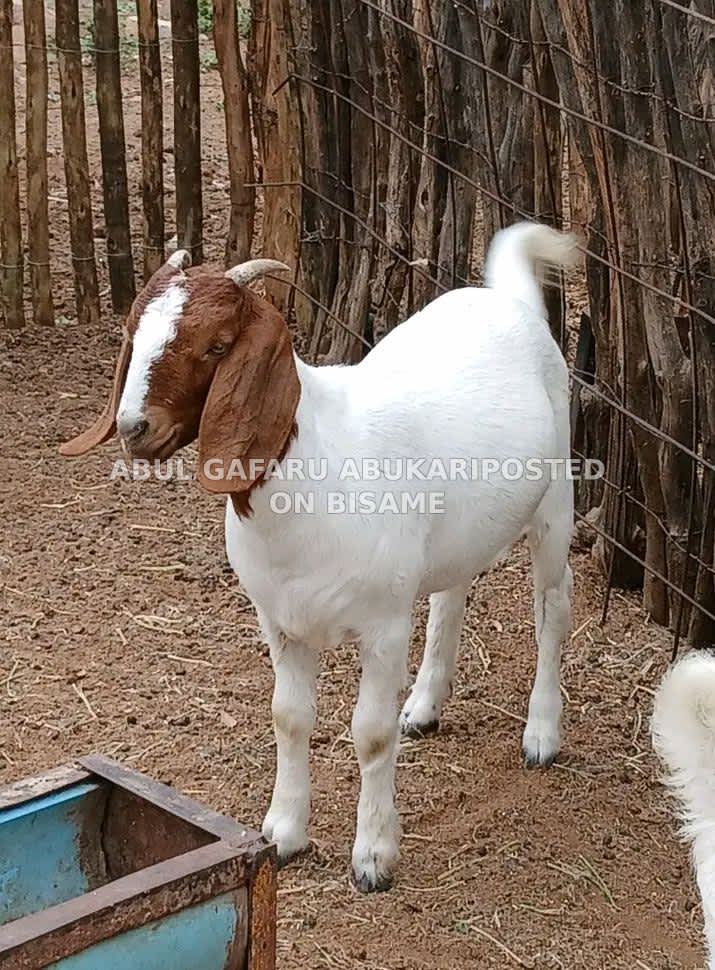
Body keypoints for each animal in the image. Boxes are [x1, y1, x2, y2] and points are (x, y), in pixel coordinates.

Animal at [61, 222, 576, 892]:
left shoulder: (383, 625)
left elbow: (371, 734)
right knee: (451, 592)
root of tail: (511, 301)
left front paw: (374, 856)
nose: (132, 428)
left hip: (557, 499)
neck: (313, 469)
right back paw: (426, 704)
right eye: (132, 331)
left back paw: (541, 733)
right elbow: (289, 717)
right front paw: (284, 832)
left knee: (553, 607)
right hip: (456, 531)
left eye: (217, 345)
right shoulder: (280, 621)